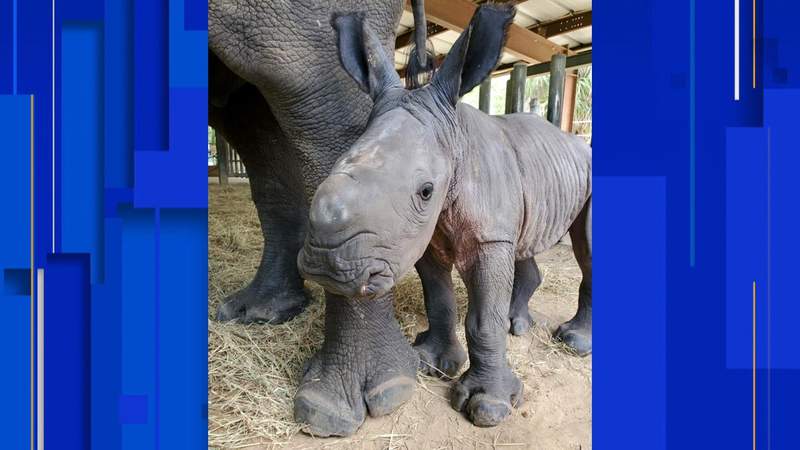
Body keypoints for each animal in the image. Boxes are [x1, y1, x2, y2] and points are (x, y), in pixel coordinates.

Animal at [296, 6, 592, 428]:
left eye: (425, 191)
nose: (325, 264)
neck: (455, 141)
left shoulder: (487, 237)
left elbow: (483, 319)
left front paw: (489, 407)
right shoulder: (425, 236)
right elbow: (438, 299)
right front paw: (432, 362)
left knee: (587, 248)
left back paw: (573, 341)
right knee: (524, 243)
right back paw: (517, 325)